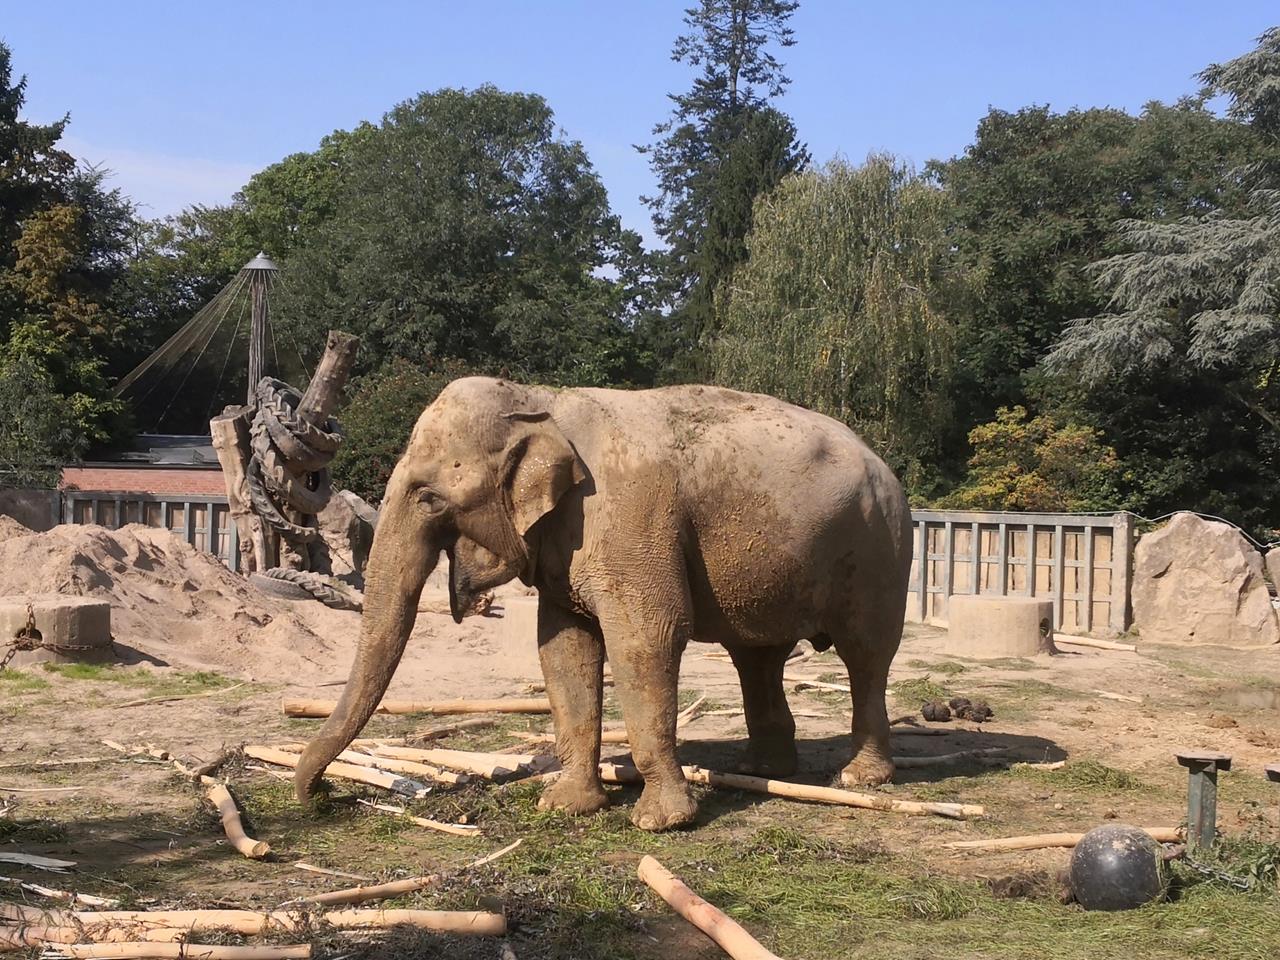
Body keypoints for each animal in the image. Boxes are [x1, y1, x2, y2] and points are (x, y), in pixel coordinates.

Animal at [296, 377, 913, 831]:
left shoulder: (631, 521)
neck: (542, 401)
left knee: (865, 655)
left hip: (880, 552)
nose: (319, 795)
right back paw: (761, 770)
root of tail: (882, 462)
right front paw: (564, 806)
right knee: (757, 657)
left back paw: (860, 779)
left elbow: (646, 640)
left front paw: (661, 823)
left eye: (428, 497)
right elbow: (563, 648)